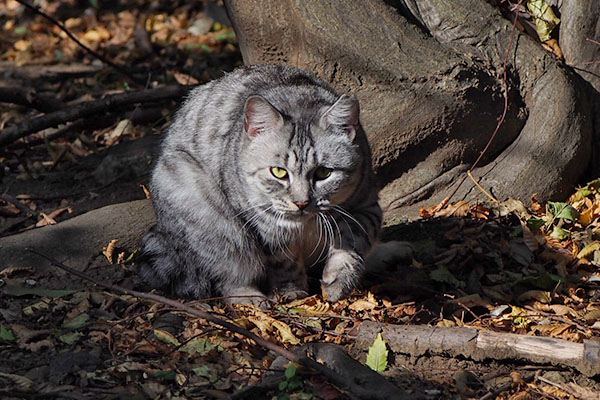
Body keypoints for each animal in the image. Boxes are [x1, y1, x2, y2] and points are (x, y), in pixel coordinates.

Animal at [139, 64, 382, 304]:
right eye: (278, 172)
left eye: (323, 173)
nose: (301, 203)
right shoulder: (267, 225)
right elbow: (284, 261)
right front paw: (291, 292)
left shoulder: (367, 205)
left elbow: (353, 238)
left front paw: (338, 280)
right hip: (206, 213)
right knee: (228, 272)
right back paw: (251, 298)